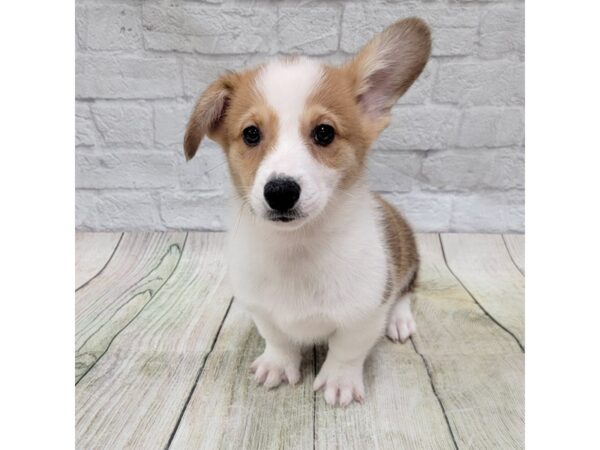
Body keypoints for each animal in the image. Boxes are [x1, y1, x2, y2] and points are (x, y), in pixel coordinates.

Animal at [183, 19, 432, 408]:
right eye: (251, 134)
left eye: (324, 132)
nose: (280, 192)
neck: (296, 248)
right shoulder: (262, 309)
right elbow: (278, 339)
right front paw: (277, 365)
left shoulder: (365, 314)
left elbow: (346, 350)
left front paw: (339, 382)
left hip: (407, 253)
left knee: (407, 290)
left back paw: (400, 321)